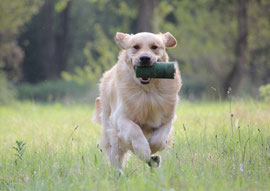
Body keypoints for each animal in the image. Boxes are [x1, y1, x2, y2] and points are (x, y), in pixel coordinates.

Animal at [93, 32, 181, 171]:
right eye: (136, 47)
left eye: (154, 47)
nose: (144, 58)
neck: (147, 92)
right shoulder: (120, 118)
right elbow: (134, 130)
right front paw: (144, 150)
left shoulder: (168, 119)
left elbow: (159, 139)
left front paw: (152, 152)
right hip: (110, 130)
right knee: (117, 153)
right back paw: (118, 172)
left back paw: (152, 159)